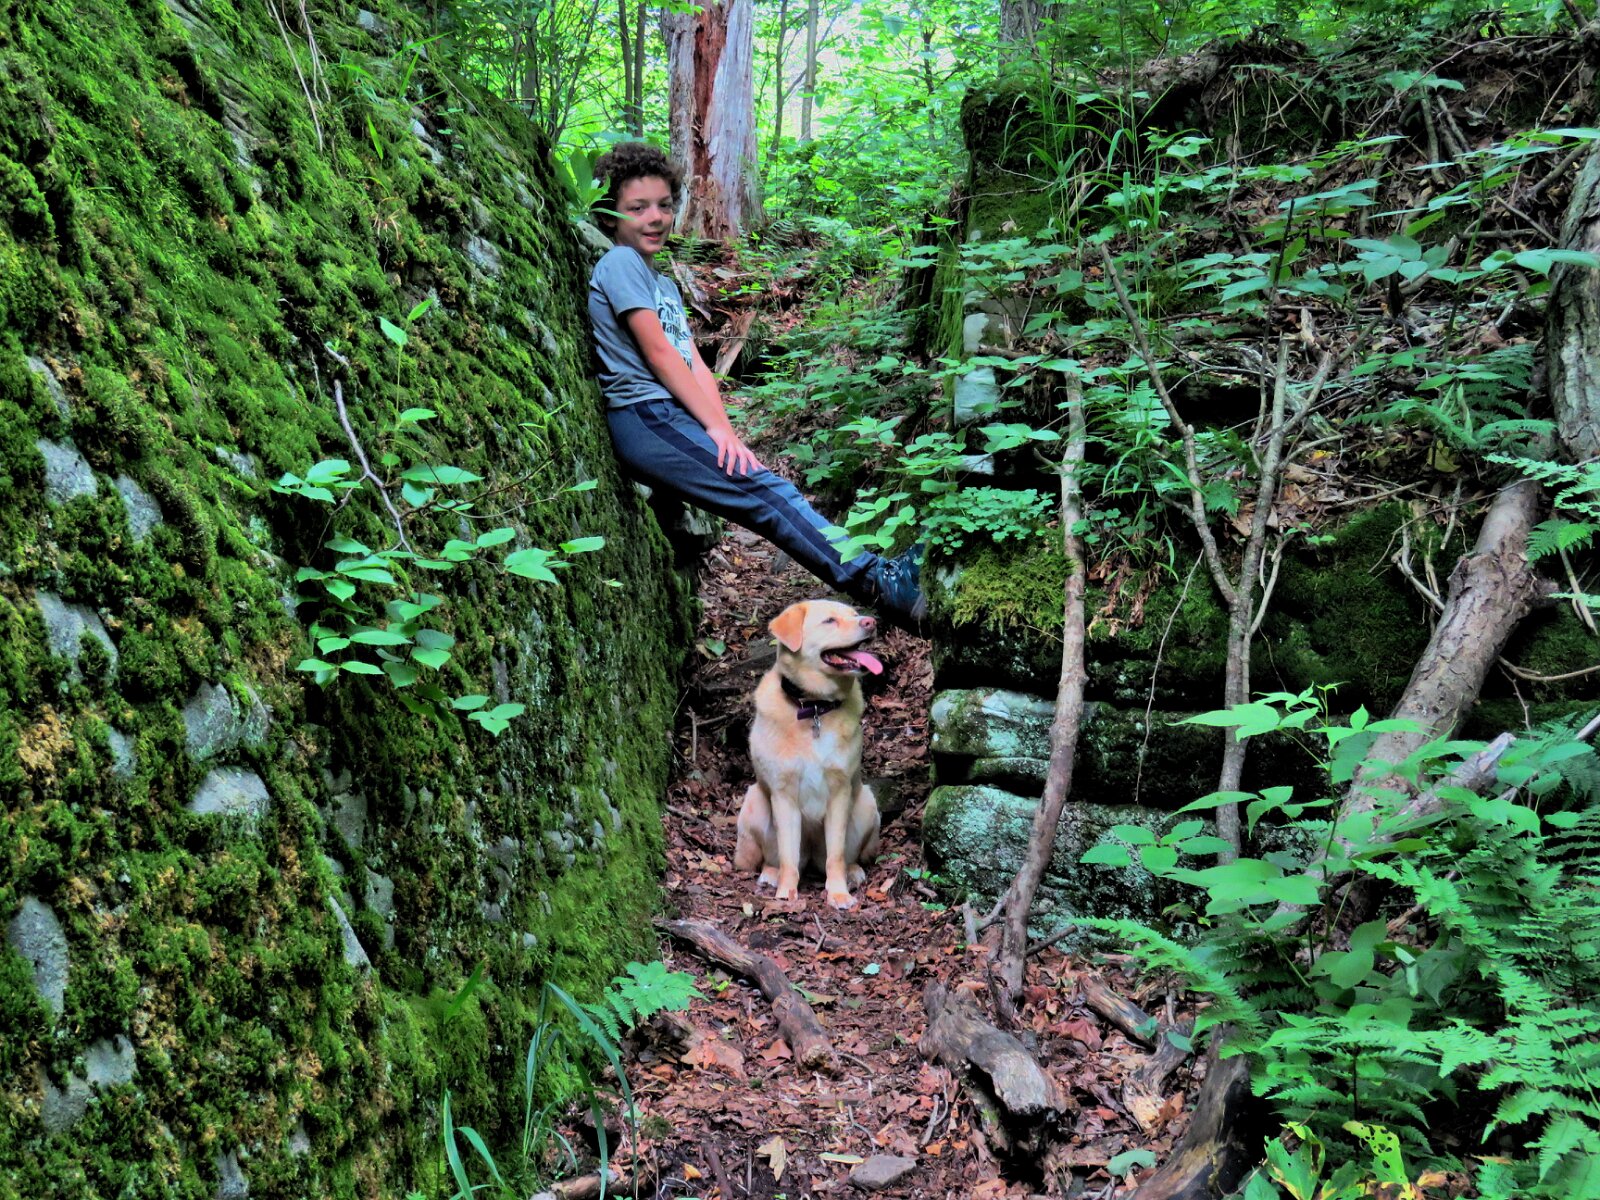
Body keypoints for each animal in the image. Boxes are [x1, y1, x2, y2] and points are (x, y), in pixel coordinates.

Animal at [735, 599, 884, 910]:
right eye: (829, 621)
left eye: (854, 615)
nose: (870, 622)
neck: (815, 707)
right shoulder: (784, 795)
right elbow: (789, 856)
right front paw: (786, 894)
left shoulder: (840, 791)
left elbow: (836, 856)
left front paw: (838, 893)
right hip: (754, 801)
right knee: (775, 858)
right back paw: (771, 874)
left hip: (865, 802)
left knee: (846, 856)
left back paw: (853, 872)